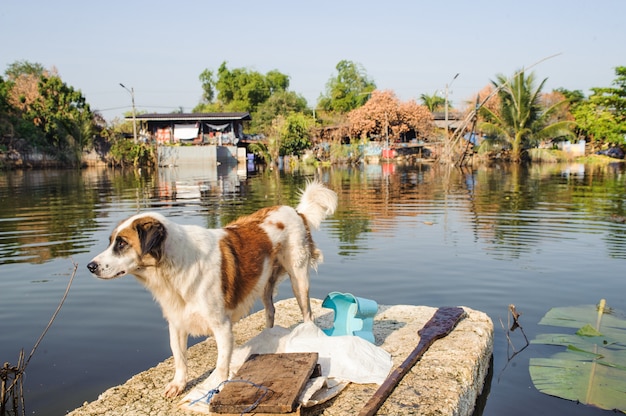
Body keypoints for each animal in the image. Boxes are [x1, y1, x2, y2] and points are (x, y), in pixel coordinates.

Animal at [86, 180, 336, 398]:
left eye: (121, 244)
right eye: (111, 241)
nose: (91, 266)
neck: (174, 266)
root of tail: (294, 211)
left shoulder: (222, 326)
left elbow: (222, 361)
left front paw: (216, 383)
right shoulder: (177, 322)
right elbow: (179, 356)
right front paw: (179, 384)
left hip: (298, 278)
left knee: (306, 311)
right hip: (266, 283)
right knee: (270, 310)